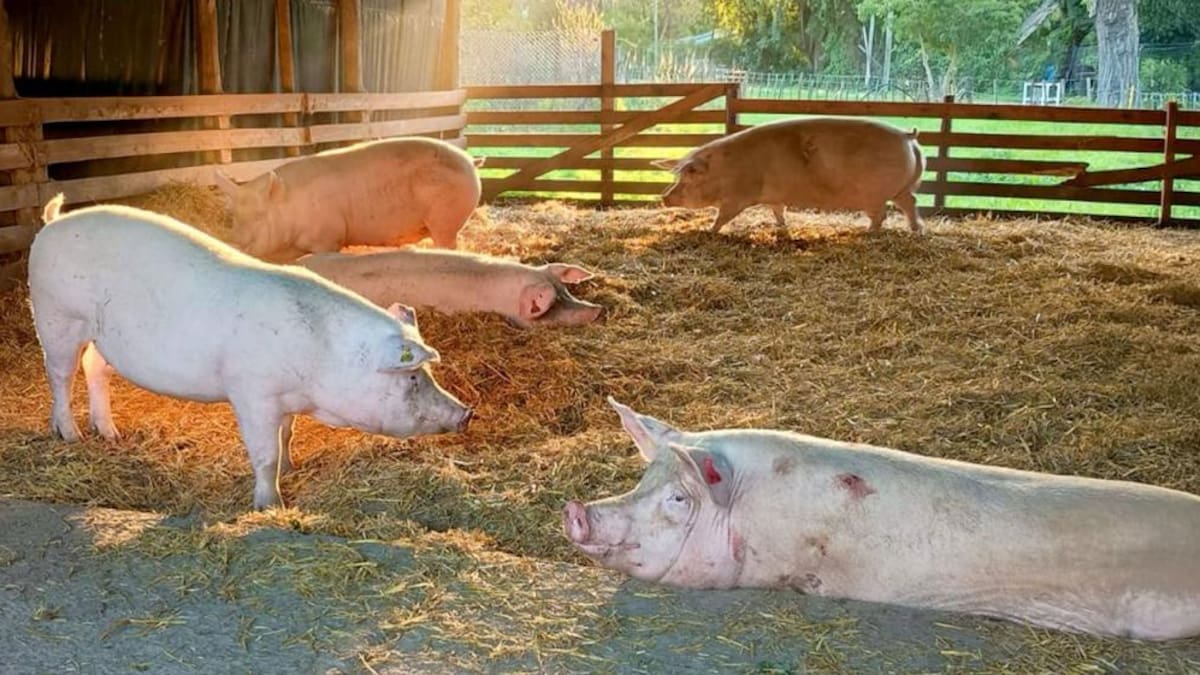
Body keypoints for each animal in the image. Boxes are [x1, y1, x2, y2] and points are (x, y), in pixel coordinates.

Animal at [28, 194, 473, 510]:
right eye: (412, 376)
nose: (467, 412)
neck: (322, 358)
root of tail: (53, 222)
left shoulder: (287, 398)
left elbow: (287, 434)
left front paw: (293, 466)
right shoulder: (252, 393)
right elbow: (264, 454)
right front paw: (270, 506)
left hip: (103, 336)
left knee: (94, 368)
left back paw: (110, 433)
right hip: (56, 315)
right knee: (59, 373)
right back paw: (70, 435)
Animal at [214, 137, 486, 263]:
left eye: (260, 215)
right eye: (233, 216)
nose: (233, 242)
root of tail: (470, 161)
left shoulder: (328, 238)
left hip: (446, 221)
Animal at [654, 117, 926, 235]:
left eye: (689, 177)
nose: (664, 197)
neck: (724, 171)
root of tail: (907, 136)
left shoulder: (736, 198)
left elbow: (723, 216)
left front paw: (708, 231)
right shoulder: (775, 196)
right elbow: (778, 210)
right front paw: (782, 227)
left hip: (876, 195)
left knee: (882, 215)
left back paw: (867, 232)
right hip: (901, 189)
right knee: (910, 202)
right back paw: (915, 230)